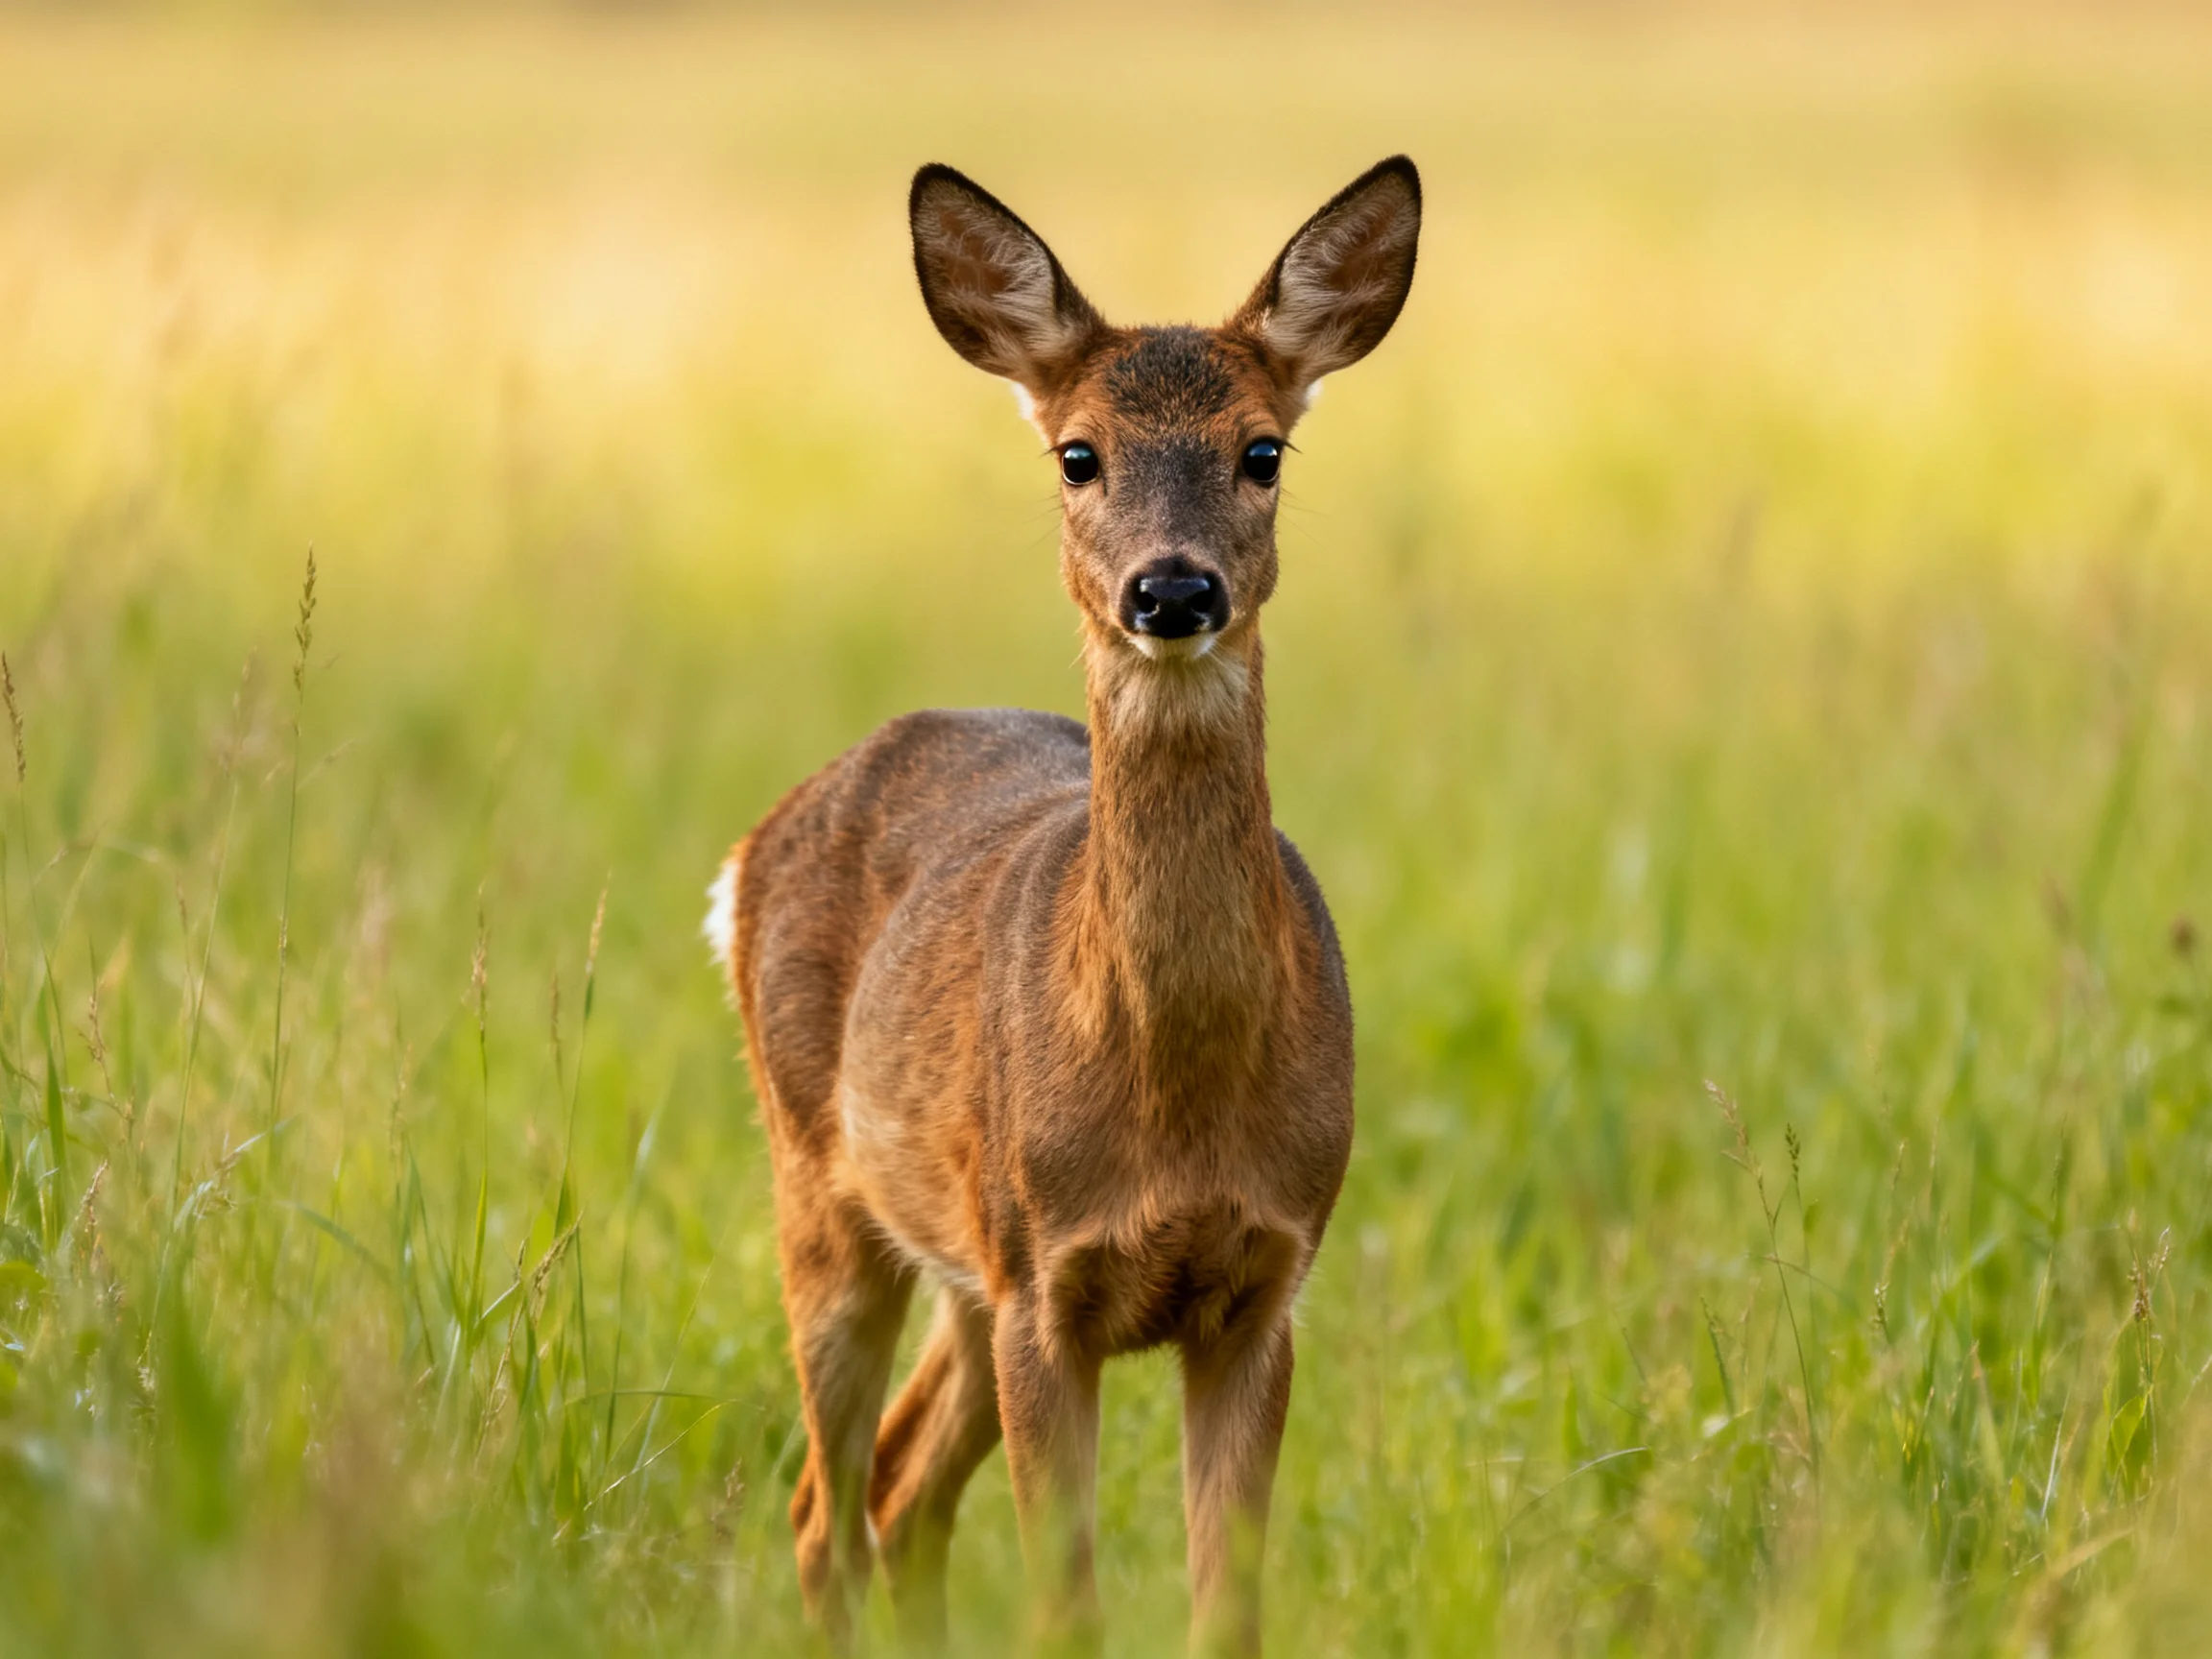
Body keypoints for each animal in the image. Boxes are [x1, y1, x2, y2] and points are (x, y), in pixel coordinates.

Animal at [706, 155, 1420, 1655]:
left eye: (1263, 451)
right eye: (1077, 454)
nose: (1173, 586)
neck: (1179, 1103)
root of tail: (750, 848)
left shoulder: (1266, 1284)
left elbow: (1225, 1608)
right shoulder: (1049, 1281)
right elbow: (1064, 1603)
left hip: (964, 1270)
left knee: (896, 1491)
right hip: (831, 1193)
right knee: (823, 1507)